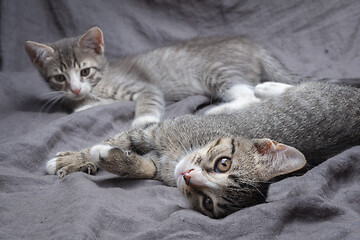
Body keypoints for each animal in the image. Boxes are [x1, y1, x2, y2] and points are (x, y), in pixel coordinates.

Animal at [26, 26, 316, 127]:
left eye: (84, 71)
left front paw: (143, 122)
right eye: (60, 78)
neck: (103, 77)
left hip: (216, 71)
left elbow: (148, 101)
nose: (75, 89)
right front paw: (81, 106)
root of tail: (253, 45)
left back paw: (216, 111)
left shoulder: (145, 87)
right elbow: (97, 104)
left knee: (249, 95)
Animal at [47, 82, 360, 218]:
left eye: (208, 202)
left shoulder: (159, 164)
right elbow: (119, 138)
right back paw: (261, 88)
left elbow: (142, 165)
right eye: (224, 163)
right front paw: (75, 159)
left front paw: (108, 158)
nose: (188, 176)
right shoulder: (151, 131)